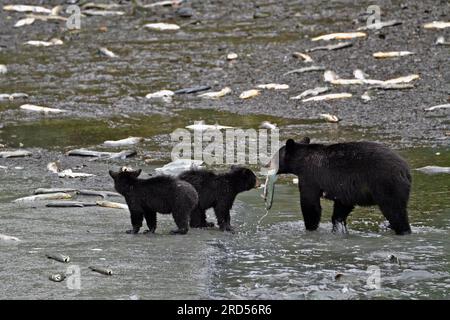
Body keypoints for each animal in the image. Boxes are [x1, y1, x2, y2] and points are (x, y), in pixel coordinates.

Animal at [268, 138, 414, 235]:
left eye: (274, 157)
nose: (267, 164)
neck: (302, 161)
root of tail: (405, 170)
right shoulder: (344, 188)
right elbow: (342, 206)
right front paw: (338, 227)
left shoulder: (310, 177)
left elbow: (310, 203)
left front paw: (310, 228)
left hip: (387, 185)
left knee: (395, 211)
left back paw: (403, 230)